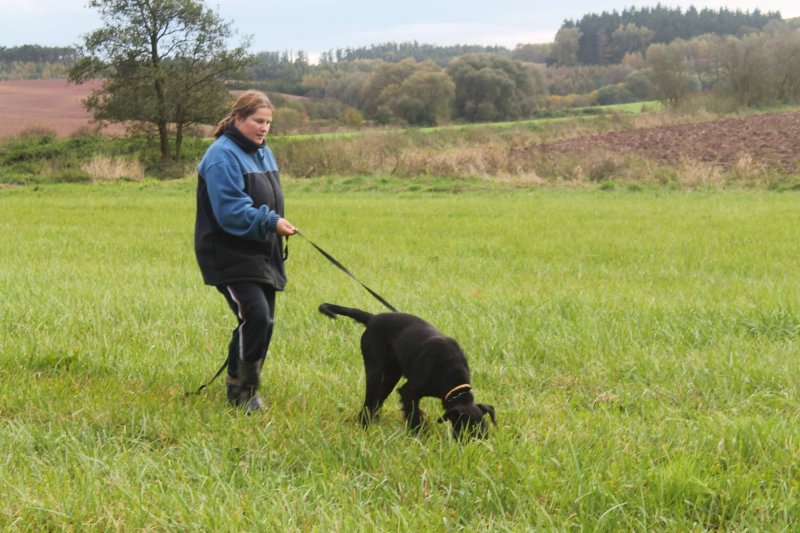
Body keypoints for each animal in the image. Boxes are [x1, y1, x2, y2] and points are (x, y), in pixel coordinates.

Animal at [318, 304, 494, 436]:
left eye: (484, 430)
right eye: (467, 429)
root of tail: (373, 318)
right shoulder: (409, 391)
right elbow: (413, 414)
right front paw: (421, 434)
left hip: (391, 376)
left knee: (378, 399)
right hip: (374, 370)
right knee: (370, 400)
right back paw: (365, 425)